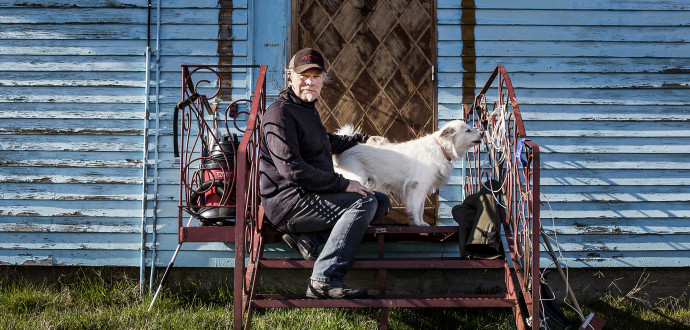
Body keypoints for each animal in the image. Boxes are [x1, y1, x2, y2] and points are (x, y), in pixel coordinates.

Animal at [332, 120, 482, 227]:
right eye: (468, 130)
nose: (481, 132)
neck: (440, 147)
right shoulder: (418, 186)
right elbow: (416, 207)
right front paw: (418, 223)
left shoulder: (422, 188)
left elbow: (420, 208)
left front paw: (419, 222)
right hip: (358, 180)